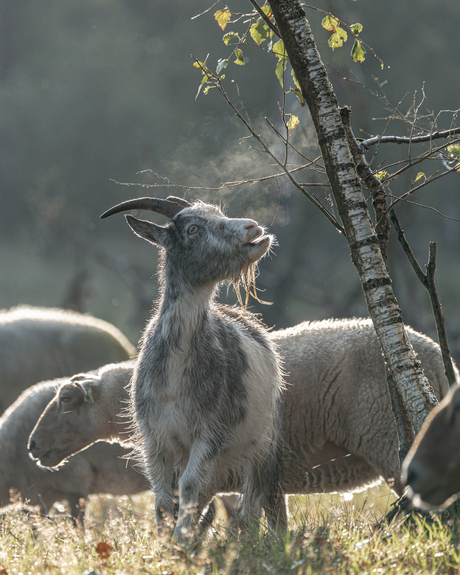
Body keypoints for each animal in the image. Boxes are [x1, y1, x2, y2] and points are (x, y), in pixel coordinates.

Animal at [100, 197, 284, 540]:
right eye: (193, 229)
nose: (253, 227)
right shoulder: (155, 438)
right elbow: (163, 497)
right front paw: (165, 543)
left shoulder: (210, 432)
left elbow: (189, 487)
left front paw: (181, 541)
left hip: (263, 441)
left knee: (255, 500)